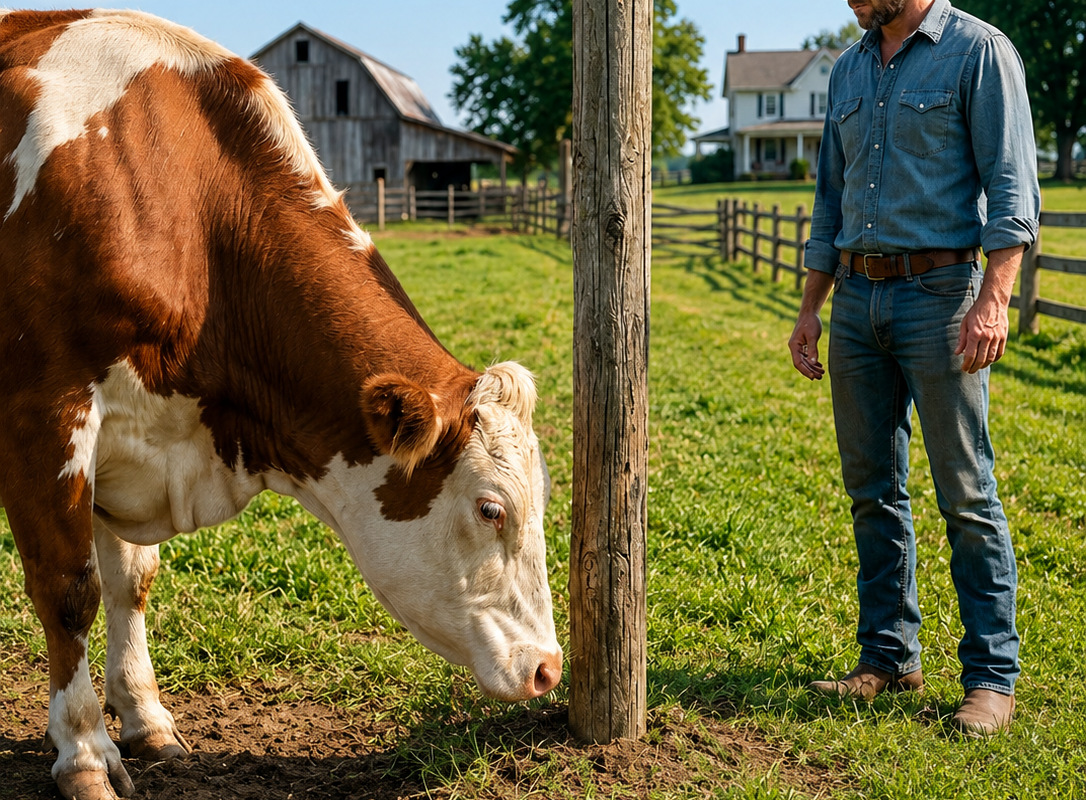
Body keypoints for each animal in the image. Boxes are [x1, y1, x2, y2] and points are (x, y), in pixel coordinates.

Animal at [0, 9, 562, 799]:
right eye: (490, 509)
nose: (549, 669)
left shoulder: (130, 441)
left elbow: (130, 581)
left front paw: (143, 718)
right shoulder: (45, 414)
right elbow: (68, 587)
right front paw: (82, 751)